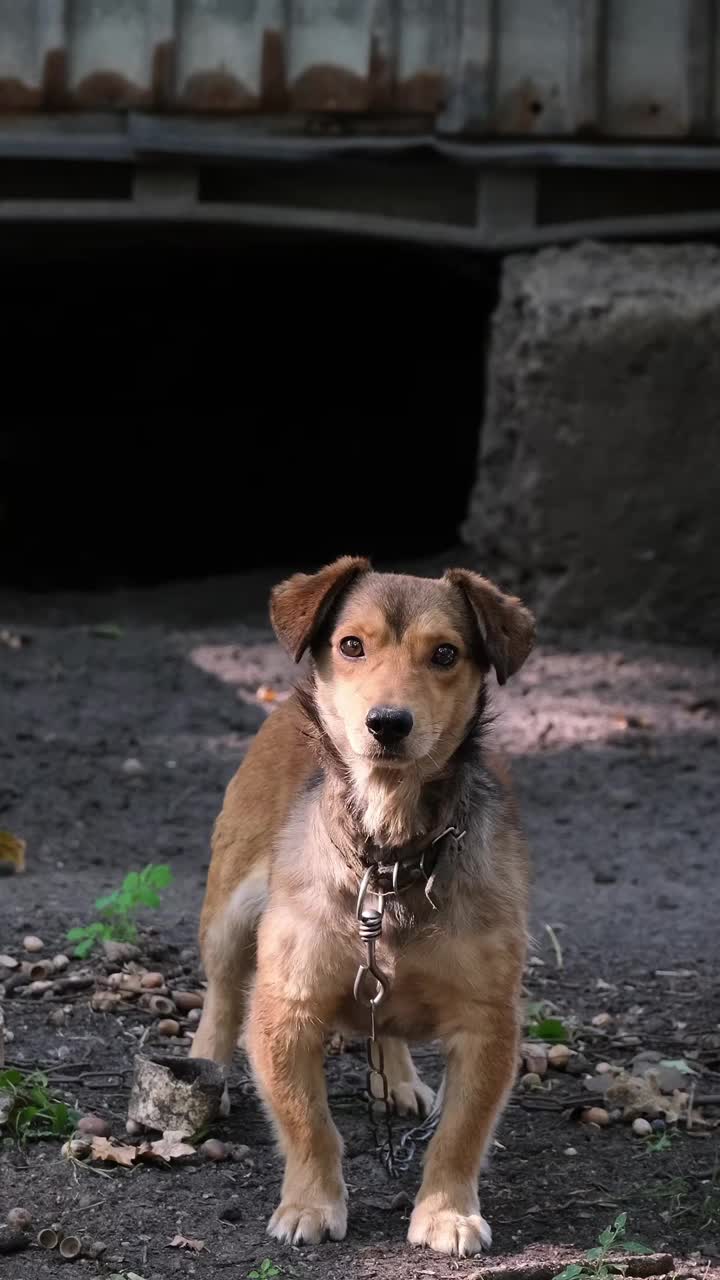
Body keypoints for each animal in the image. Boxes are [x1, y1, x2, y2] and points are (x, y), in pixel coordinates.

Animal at [190, 558, 532, 1259]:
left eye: (445, 654)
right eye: (352, 645)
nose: (388, 722)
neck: (389, 854)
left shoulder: (489, 1022)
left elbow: (461, 1133)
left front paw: (446, 1212)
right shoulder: (285, 1011)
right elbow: (309, 1124)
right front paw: (311, 1204)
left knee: (386, 1024)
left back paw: (393, 1079)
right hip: (229, 912)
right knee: (222, 992)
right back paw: (207, 1069)